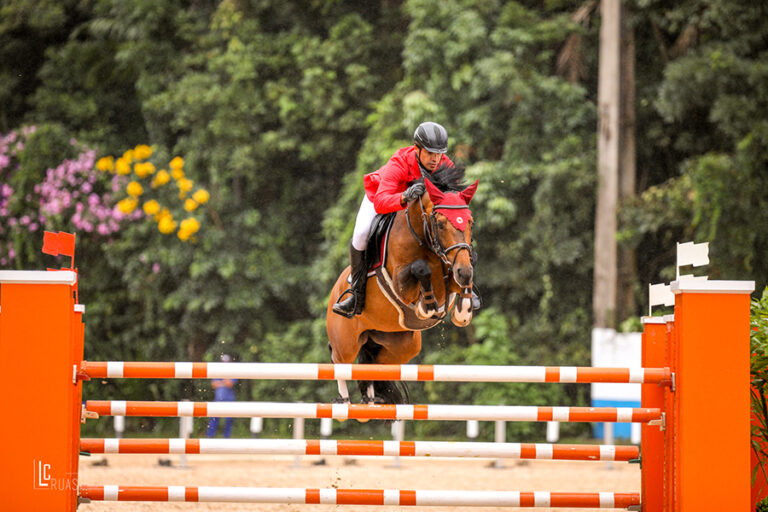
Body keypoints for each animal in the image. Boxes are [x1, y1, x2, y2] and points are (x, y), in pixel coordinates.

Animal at [326, 164, 480, 404]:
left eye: (470, 221)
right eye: (440, 223)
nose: (462, 273)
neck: (425, 240)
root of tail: (334, 292)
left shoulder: (455, 267)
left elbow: (465, 273)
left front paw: (464, 308)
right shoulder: (400, 284)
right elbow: (420, 268)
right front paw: (427, 306)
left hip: (401, 345)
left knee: (373, 364)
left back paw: (372, 400)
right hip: (345, 342)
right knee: (340, 362)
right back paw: (344, 402)